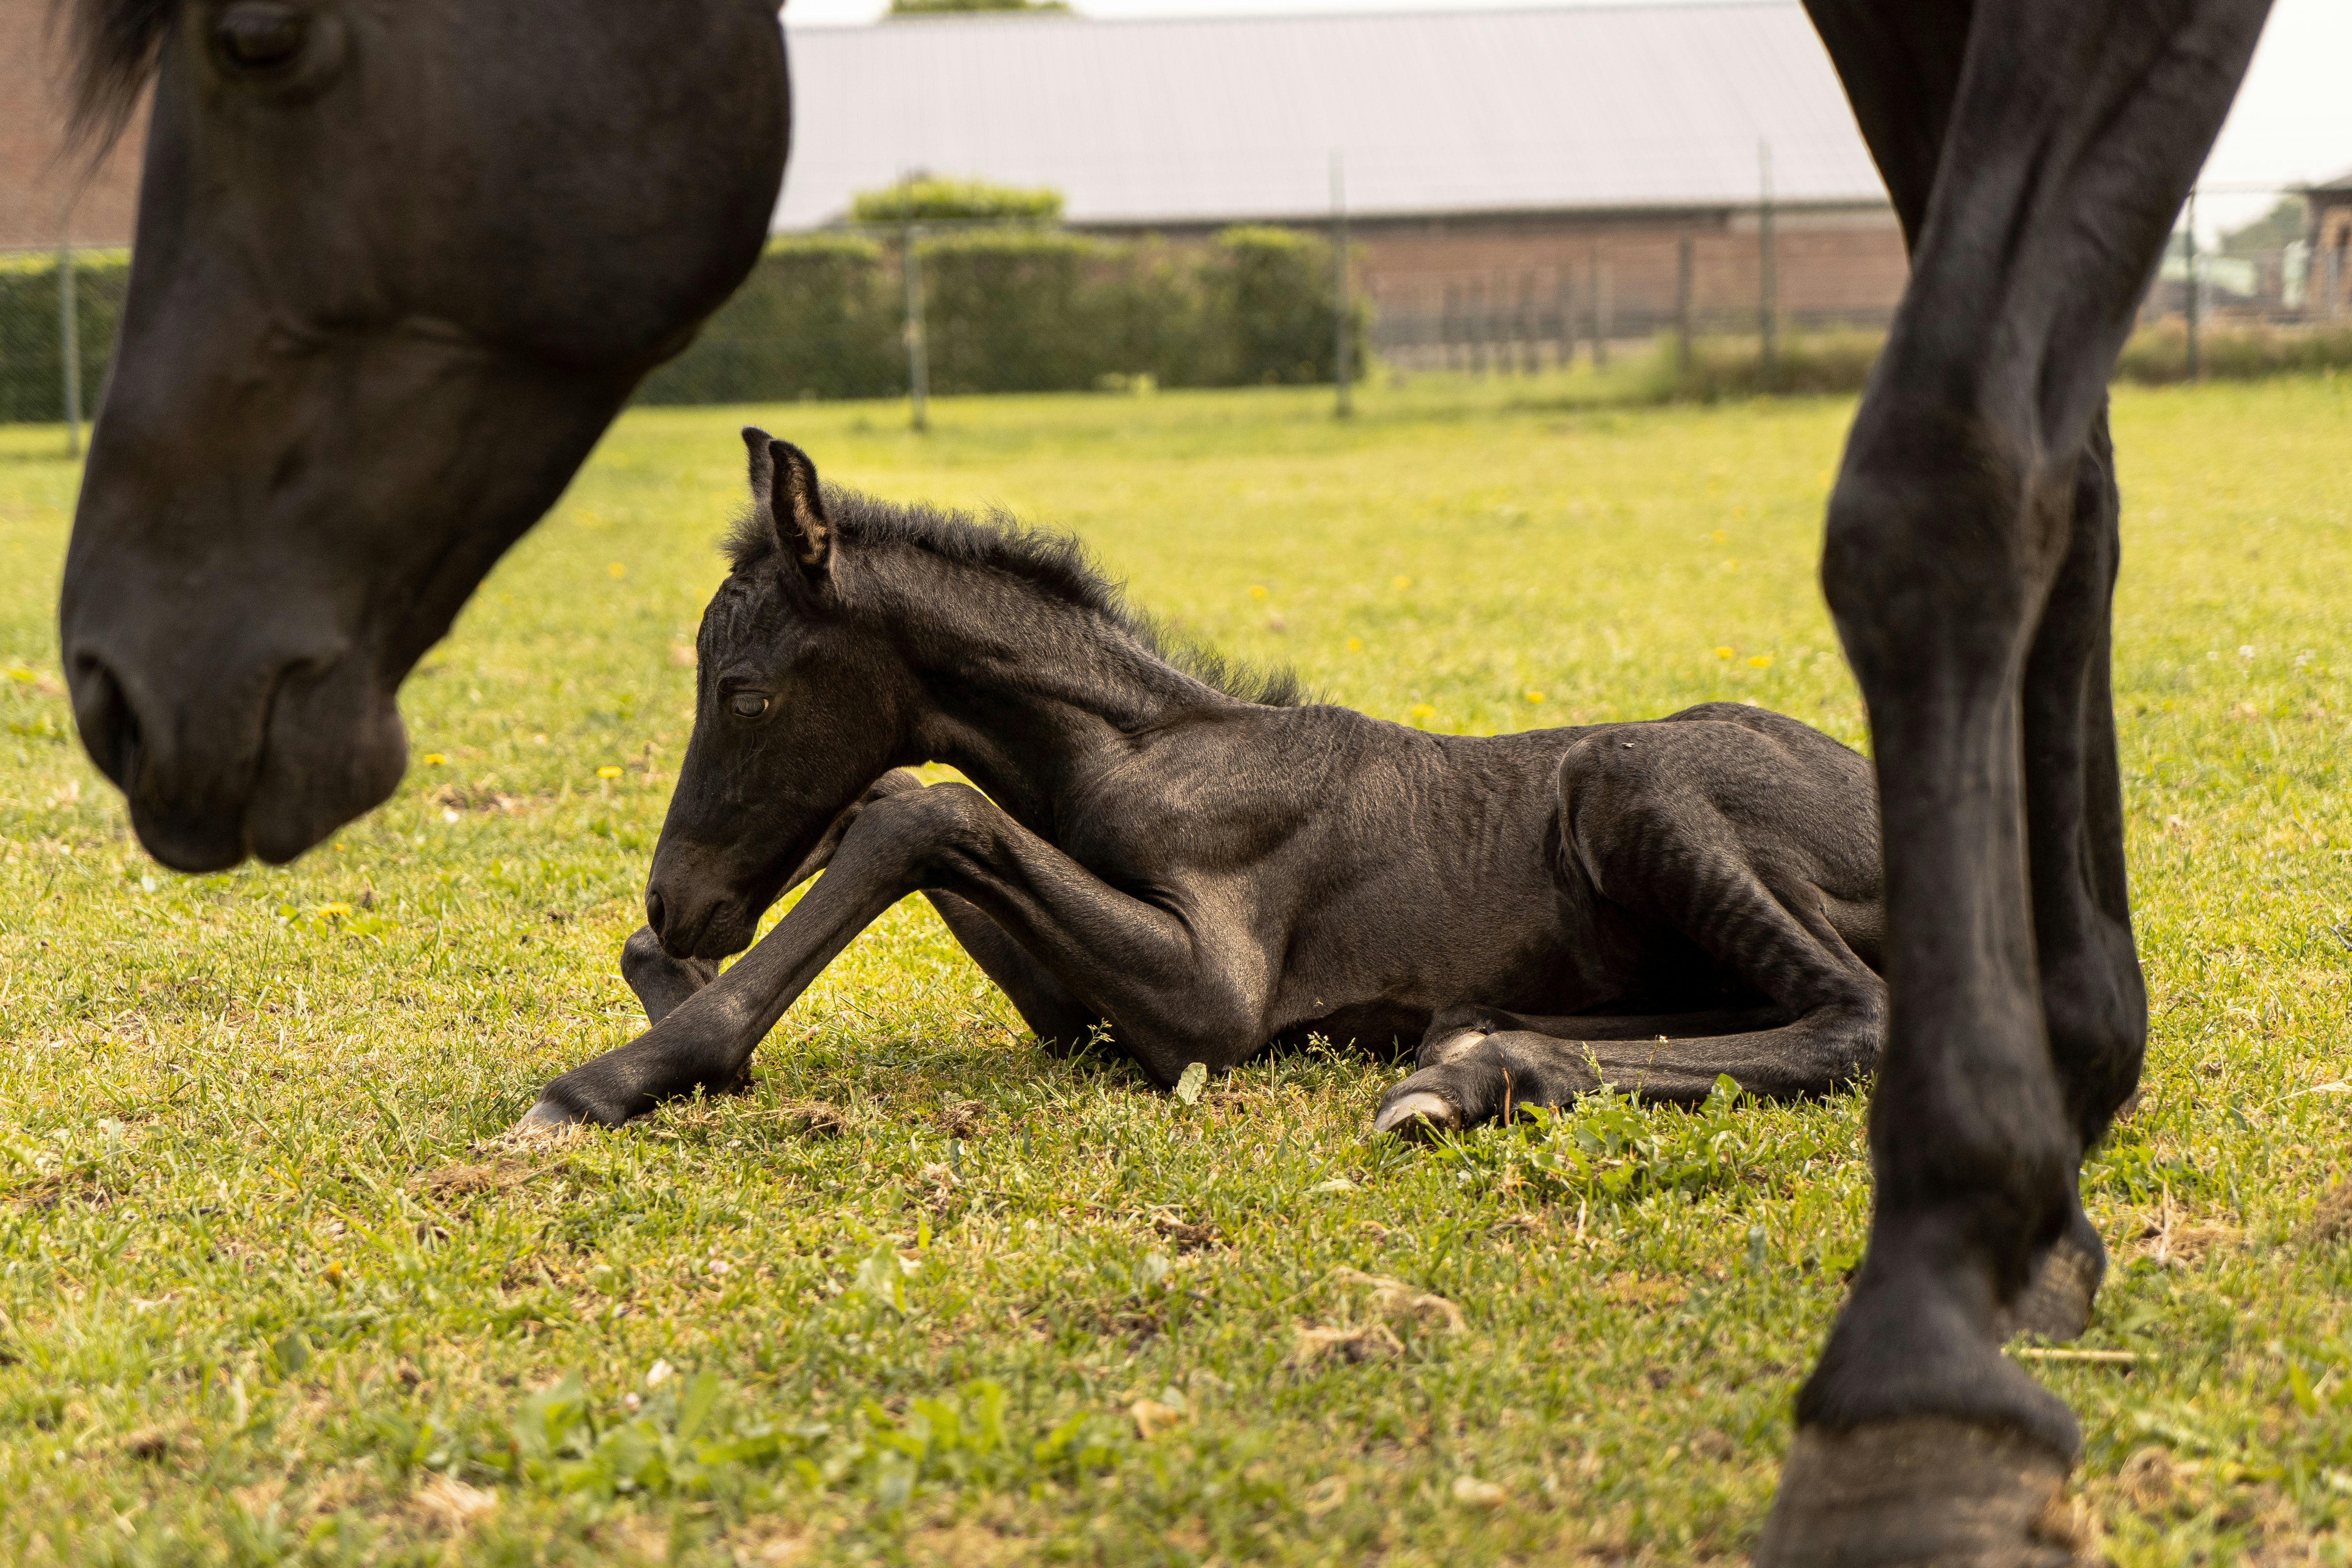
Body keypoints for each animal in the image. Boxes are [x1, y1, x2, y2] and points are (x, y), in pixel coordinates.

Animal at [521, 427, 1893, 1135]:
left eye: (743, 692)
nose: (678, 903)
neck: (1149, 754)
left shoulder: (1216, 995)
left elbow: (922, 808)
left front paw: (621, 1073)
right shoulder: (1079, 1017)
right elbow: (905, 816)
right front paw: (679, 1003)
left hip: (1628, 774)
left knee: (1857, 1013)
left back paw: (1465, 1078)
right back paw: (1469, 1045)